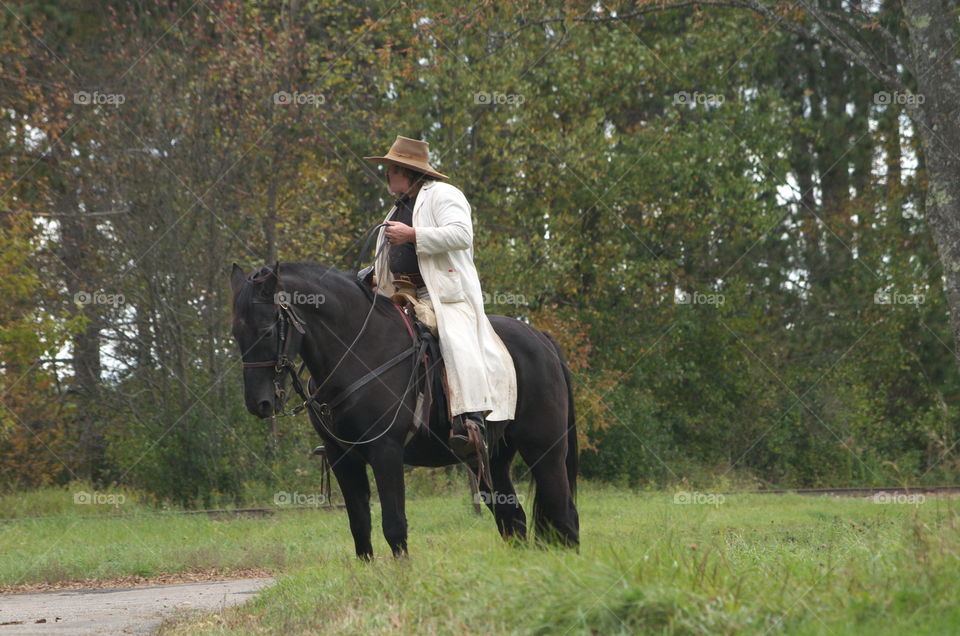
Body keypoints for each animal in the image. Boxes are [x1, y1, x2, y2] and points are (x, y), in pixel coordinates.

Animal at [230, 261, 578, 558]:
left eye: (267, 330)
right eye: (236, 333)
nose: (259, 403)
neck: (357, 351)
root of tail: (541, 339)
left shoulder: (386, 452)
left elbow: (394, 525)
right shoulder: (342, 458)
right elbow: (360, 527)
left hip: (544, 449)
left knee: (563, 511)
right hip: (490, 458)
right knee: (513, 517)